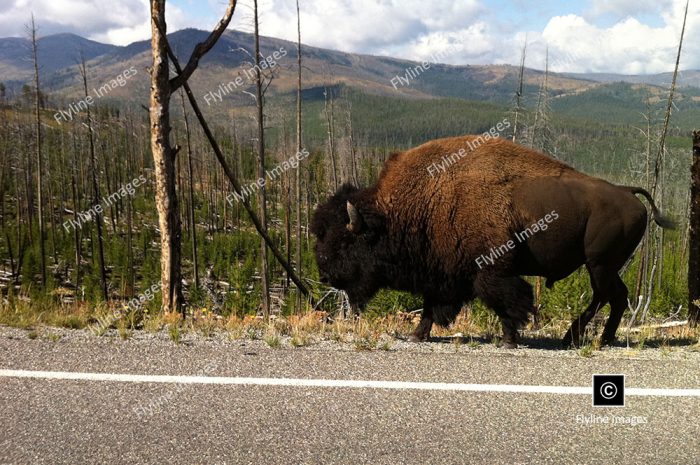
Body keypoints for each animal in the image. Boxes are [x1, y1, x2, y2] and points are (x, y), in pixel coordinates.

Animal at [312, 132, 672, 346]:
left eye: (345, 241)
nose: (325, 274)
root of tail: (627, 193)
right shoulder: (442, 272)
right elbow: (431, 305)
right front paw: (417, 335)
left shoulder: (491, 270)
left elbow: (506, 301)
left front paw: (510, 339)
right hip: (602, 266)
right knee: (614, 296)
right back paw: (592, 337)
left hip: (599, 264)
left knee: (608, 296)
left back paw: (582, 337)